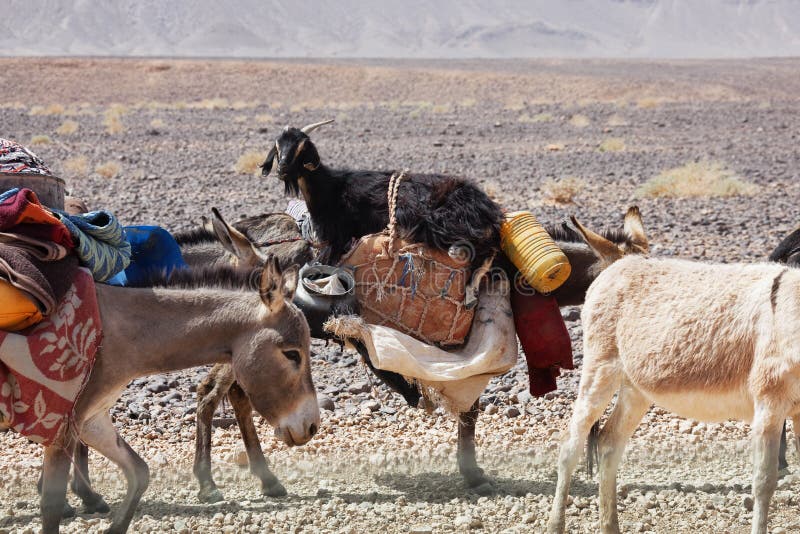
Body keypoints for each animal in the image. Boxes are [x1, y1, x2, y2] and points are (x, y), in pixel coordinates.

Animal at [260, 119, 500, 266]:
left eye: (301, 148)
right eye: (278, 147)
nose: (282, 169)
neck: (330, 188)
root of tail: (489, 210)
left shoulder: (340, 235)